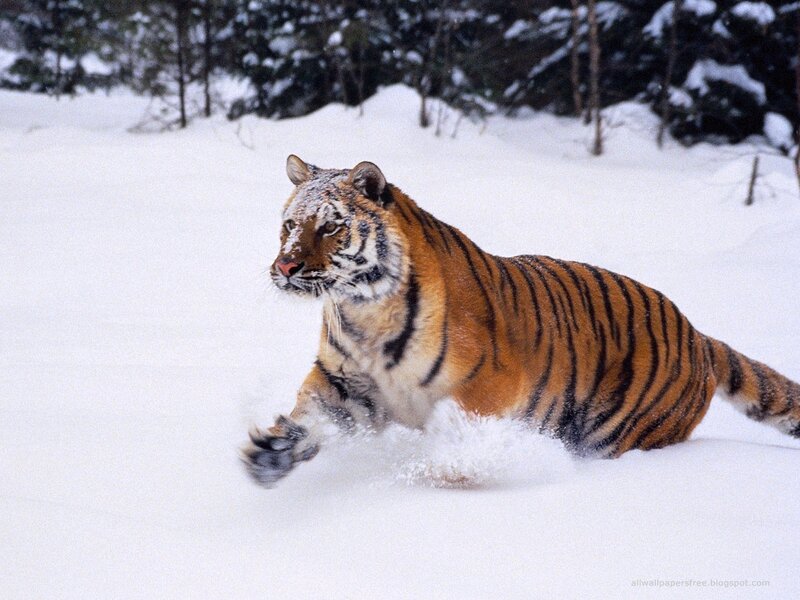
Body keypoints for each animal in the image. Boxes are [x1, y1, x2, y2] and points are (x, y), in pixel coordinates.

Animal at [241, 154, 800, 487]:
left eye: (330, 227)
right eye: (290, 225)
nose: (284, 266)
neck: (362, 309)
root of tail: (699, 336)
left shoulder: (487, 385)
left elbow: (459, 435)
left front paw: (442, 474)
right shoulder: (344, 381)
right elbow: (312, 417)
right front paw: (272, 452)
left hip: (619, 432)